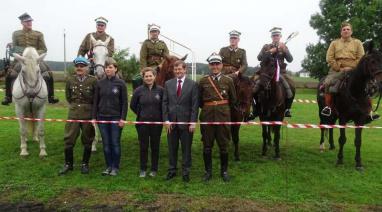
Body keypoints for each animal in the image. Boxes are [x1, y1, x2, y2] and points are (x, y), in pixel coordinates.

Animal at [320, 41, 382, 171]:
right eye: (372, 61)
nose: (379, 84)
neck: (355, 92)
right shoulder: (343, 118)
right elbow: (342, 139)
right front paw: (340, 160)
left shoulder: (360, 119)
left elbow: (358, 141)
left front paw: (358, 163)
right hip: (323, 113)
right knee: (323, 126)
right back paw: (322, 146)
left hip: (334, 115)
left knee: (331, 127)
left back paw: (332, 145)